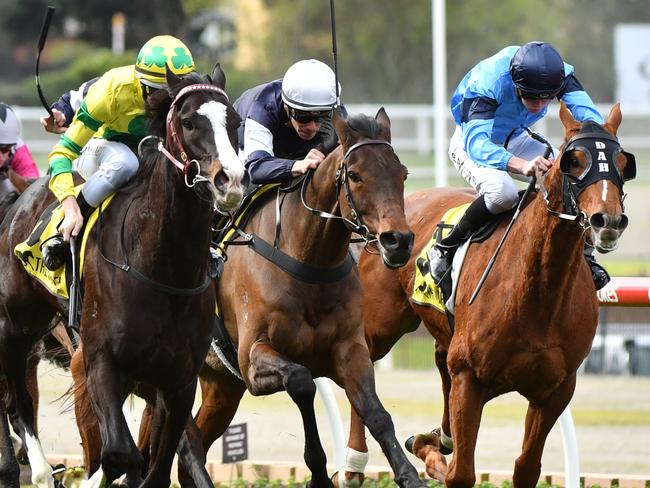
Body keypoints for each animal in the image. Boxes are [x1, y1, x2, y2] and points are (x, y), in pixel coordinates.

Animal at [0, 66, 247, 488]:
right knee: (18, 403)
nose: (229, 180)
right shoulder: (100, 361)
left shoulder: (178, 380)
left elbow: (157, 466)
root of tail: (22, 198)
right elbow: (119, 453)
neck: (163, 269)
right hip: (14, 325)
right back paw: (39, 470)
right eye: (188, 121)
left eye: (234, 123)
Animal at [171, 109, 426, 488]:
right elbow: (302, 382)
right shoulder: (253, 360)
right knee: (186, 444)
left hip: (221, 386)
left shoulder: (350, 350)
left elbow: (376, 413)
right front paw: (318, 473)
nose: (398, 241)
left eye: (402, 173)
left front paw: (410, 476)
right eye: (355, 175)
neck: (309, 262)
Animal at [342, 101, 632, 486]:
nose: (607, 220)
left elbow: (526, 467)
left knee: (439, 370)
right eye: (574, 161)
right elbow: (462, 473)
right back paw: (354, 461)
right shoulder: (470, 378)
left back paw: (432, 442)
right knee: (362, 370)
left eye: (622, 162)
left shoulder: (555, 390)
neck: (539, 292)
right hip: (382, 324)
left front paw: (431, 445)